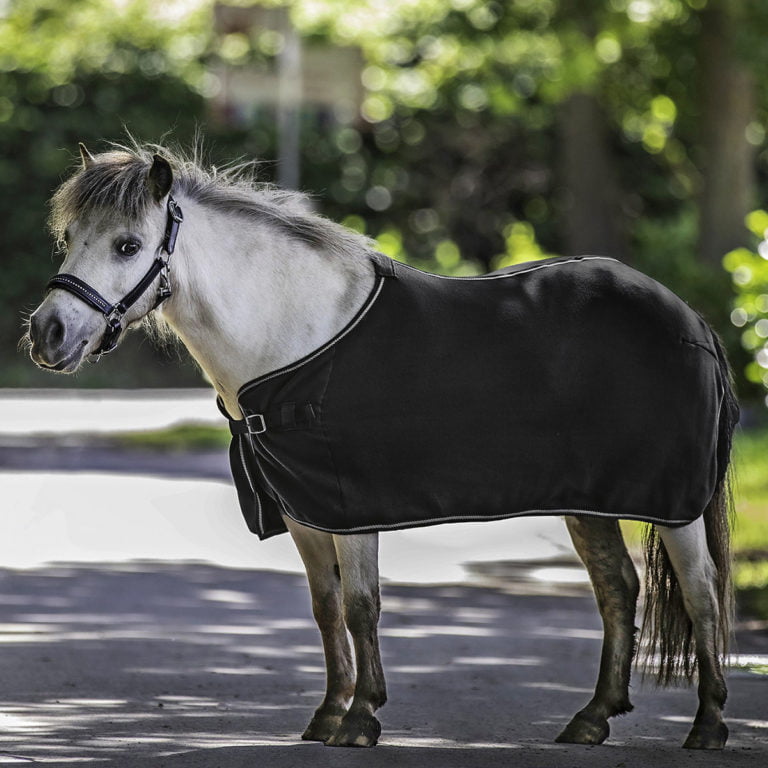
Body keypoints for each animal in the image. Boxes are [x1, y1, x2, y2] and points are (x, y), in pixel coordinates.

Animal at [25, 142, 736, 752]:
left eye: (128, 245)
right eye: (70, 238)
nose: (47, 333)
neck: (293, 334)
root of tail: (692, 321)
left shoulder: (350, 506)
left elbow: (362, 606)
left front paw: (362, 717)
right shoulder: (304, 512)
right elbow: (325, 608)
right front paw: (328, 714)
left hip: (674, 504)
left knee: (702, 592)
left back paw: (707, 726)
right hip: (590, 501)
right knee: (618, 588)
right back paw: (592, 719)